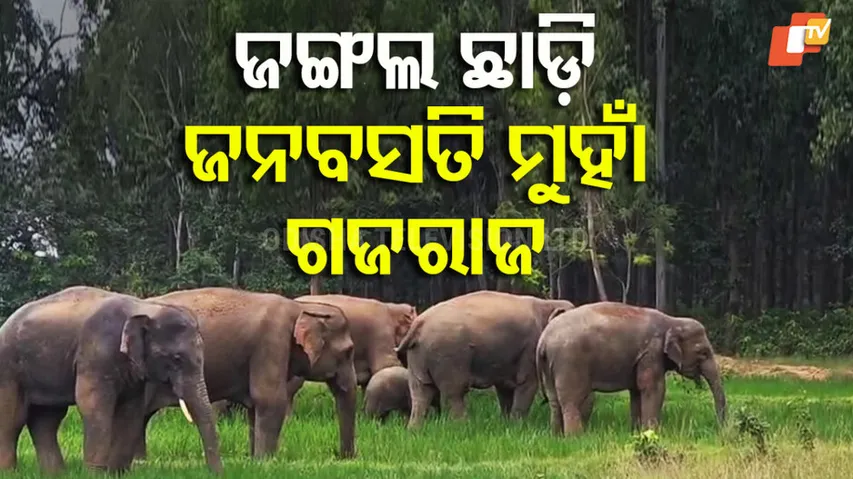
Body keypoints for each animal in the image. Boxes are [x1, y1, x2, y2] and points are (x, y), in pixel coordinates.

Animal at [0, 286, 221, 474]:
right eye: (176, 359)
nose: (214, 473)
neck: (144, 307)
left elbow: (131, 409)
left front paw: (117, 473)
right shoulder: (95, 354)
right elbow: (92, 404)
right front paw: (95, 474)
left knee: (47, 420)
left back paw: (55, 474)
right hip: (9, 368)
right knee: (13, 418)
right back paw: (9, 472)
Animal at [133, 287, 357, 461]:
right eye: (348, 351)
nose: (344, 457)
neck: (301, 308)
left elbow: (254, 407)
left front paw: (254, 459)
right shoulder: (272, 342)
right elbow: (270, 400)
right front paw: (266, 461)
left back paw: (140, 460)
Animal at [395, 290, 575, 428]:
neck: (547, 303)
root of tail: (418, 324)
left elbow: (505, 389)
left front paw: (507, 424)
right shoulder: (529, 348)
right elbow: (527, 384)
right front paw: (519, 426)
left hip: (418, 355)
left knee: (420, 392)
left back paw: (414, 430)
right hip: (447, 355)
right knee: (454, 392)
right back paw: (463, 426)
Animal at [536, 301, 727, 436]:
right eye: (703, 353)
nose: (720, 428)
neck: (673, 320)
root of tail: (543, 340)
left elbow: (636, 391)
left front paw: (636, 432)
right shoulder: (652, 352)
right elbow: (654, 388)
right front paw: (653, 432)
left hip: (549, 365)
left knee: (554, 400)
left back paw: (557, 437)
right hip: (569, 361)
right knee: (571, 401)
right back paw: (575, 438)